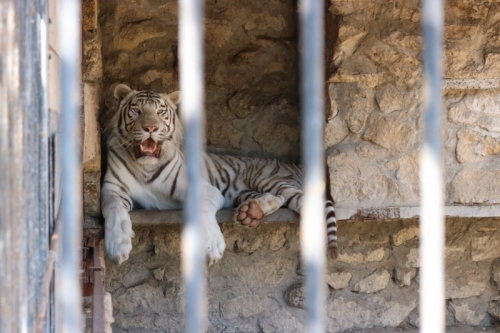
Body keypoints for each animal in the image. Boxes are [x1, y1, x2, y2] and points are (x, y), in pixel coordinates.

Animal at [101, 83, 338, 264]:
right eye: (137, 111)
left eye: (160, 112)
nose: (151, 128)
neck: (146, 166)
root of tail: (297, 165)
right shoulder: (112, 189)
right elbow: (112, 208)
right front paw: (117, 245)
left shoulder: (205, 189)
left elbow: (203, 209)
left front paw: (211, 245)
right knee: (277, 198)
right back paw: (252, 212)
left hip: (269, 178)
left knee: (300, 201)